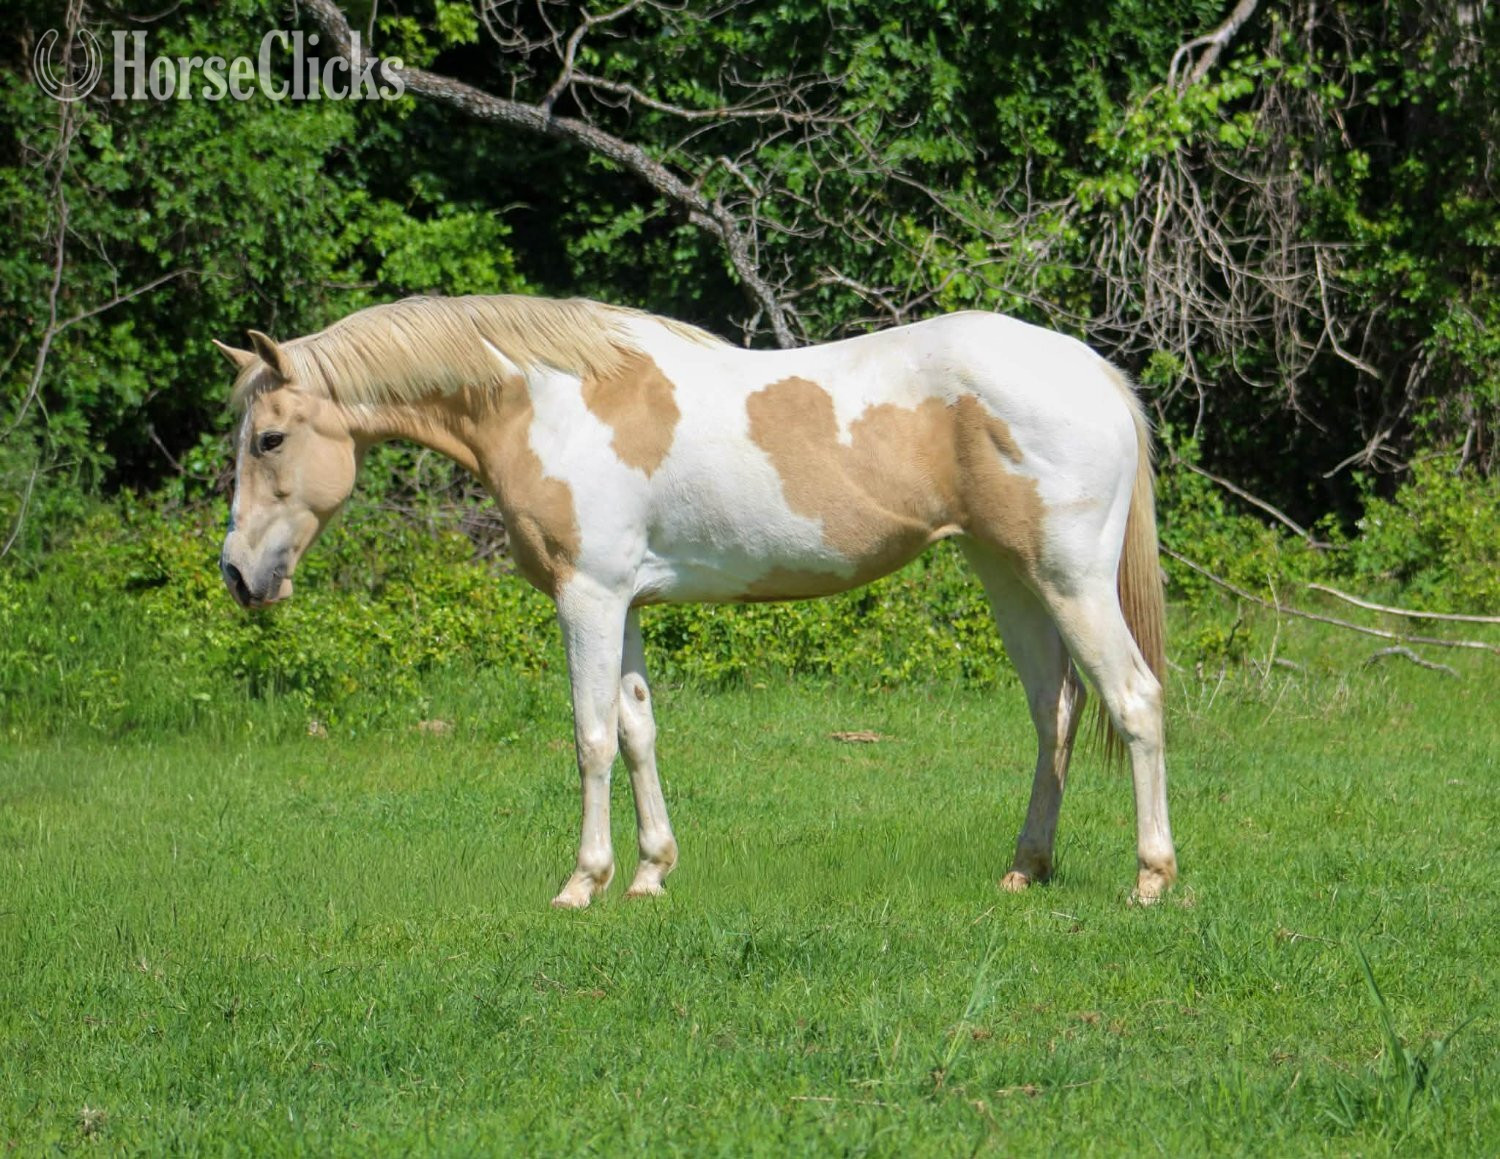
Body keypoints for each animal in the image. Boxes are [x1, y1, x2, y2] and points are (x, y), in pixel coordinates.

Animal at [214, 294, 1177, 908]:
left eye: (270, 439)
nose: (238, 574)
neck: (551, 402)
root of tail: (1093, 370)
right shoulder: (626, 602)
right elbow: (639, 728)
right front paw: (650, 873)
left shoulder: (588, 596)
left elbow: (591, 736)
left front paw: (583, 882)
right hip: (1008, 576)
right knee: (1055, 711)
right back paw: (1027, 868)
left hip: (1070, 580)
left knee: (1133, 700)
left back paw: (1151, 877)